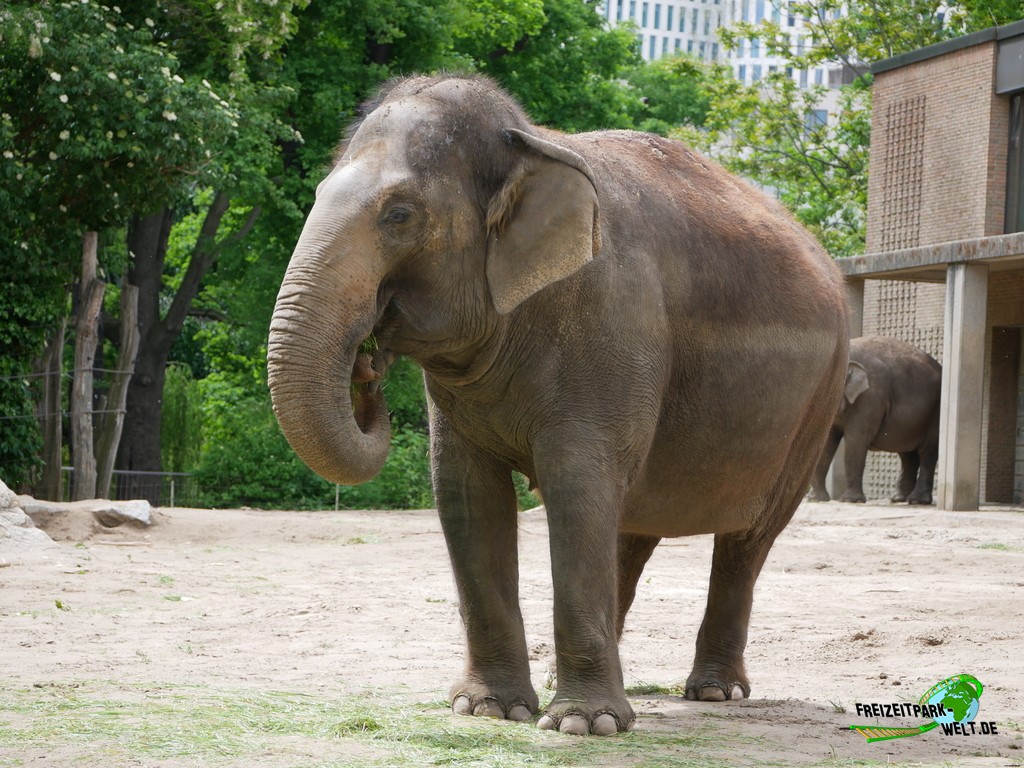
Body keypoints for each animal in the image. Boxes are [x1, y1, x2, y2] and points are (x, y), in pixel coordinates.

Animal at [264, 75, 847, 737]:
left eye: (399, 214)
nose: (367, 366)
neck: (528, 142)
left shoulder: (611, 330)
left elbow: (577, 483)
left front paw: (583, 726)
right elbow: (467, 494)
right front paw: (489, 709)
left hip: (816, 406)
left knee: (746, 541)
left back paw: (712, 693)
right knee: (631, 528)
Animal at [806, 335, 942, 505]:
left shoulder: (871, 397)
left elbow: (855, 440)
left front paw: (851, 500)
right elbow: (826, 443)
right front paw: (815, 499)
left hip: (935, 411)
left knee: (927, 452)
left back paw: (917, 501)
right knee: (907, 454)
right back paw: (898, 499)